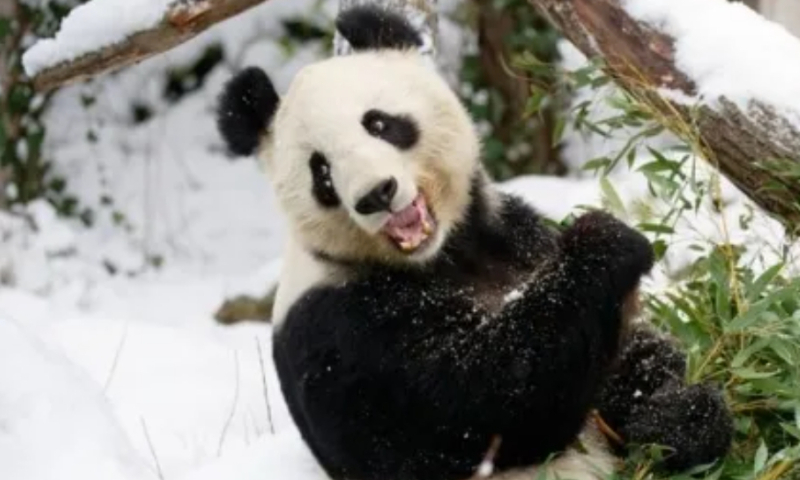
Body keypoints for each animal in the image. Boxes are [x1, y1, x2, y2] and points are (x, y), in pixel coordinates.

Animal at [216, 5, 734, 480]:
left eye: (378, 123)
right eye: (320, 171)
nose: (375, 195)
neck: (444, 256)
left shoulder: (515, 236)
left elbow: (632, 362)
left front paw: (678, 419)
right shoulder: (338, 327)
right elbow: (478, 402)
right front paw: (604, 241)